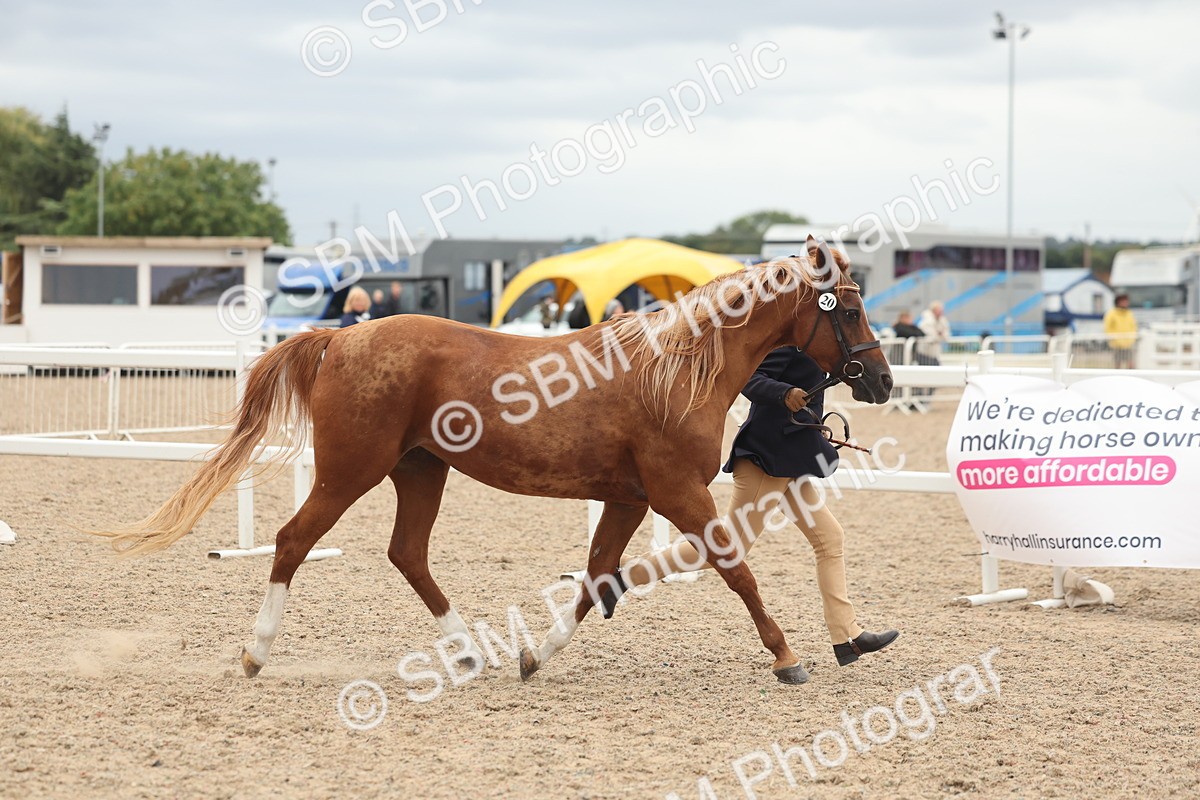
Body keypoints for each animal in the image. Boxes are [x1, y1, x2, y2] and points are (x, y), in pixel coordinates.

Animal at [90, 238, 893, 684]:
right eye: (849, 308)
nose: (881, 381)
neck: (674, 370)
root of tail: (341, 336)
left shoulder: (631, 497)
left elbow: (598, 577)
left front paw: (536, 655)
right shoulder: (676, 494)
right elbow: (737, 572)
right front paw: (787, 657)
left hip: (420, 470)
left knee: (408, 553)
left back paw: (470, 653)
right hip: (350, 472)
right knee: (293, 541)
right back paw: (256, 655)